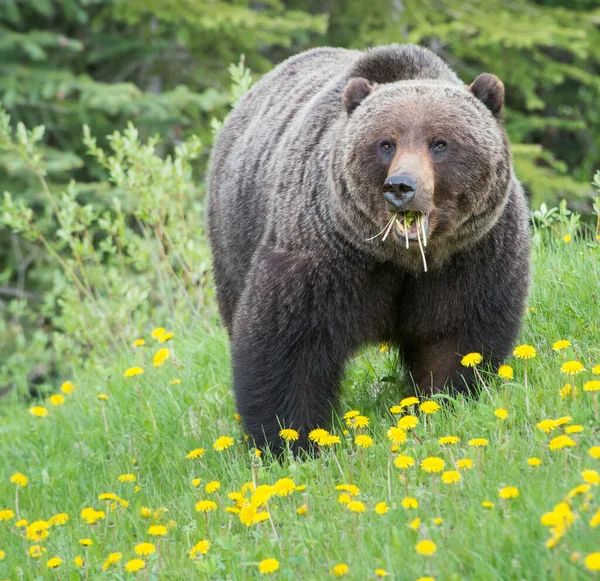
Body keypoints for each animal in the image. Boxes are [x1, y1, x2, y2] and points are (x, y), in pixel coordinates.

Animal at [206, 45, 528, 454]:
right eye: (386, 143)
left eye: (440, 143)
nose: (401, 186)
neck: (403, 258)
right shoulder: (327, 257)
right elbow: (287, 347)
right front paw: (291, 440)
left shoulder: (472, 256)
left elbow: (456, 336)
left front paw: (443, 400)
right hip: (233, 236)